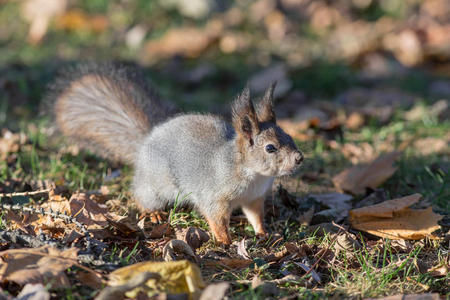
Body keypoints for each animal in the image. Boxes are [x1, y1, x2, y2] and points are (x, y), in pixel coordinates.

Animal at [48, 62, 302, 244]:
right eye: (270, 147)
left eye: (289, 136)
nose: (299, 158)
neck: (251, 173)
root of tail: (147, 140)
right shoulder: (214, 195)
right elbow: (216, 217)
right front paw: (225, 240)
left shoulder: (254, 198)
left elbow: (256, 216)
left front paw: (263, 233)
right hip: (156, 185)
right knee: (141, 196)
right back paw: (153, 214)